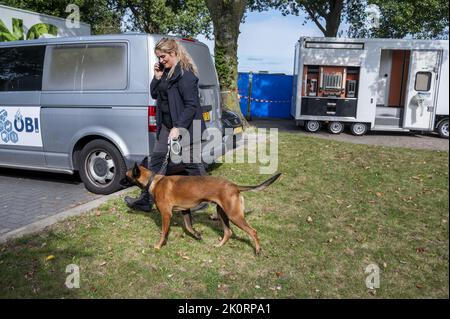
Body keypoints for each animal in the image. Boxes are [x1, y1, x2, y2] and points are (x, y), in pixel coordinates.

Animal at [123, 164, 278, 256]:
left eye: (126, 175)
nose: (119, 181)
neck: (154, 181)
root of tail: (234, 186)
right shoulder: (185, 210)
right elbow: (189, 227)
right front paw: (197, 235)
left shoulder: (166, 214)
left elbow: (163, 232)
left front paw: (159, 245)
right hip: (222, 213)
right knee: (228, 232)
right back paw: (219, 245)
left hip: (234, 215)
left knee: (253, 231)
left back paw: (257, 250)